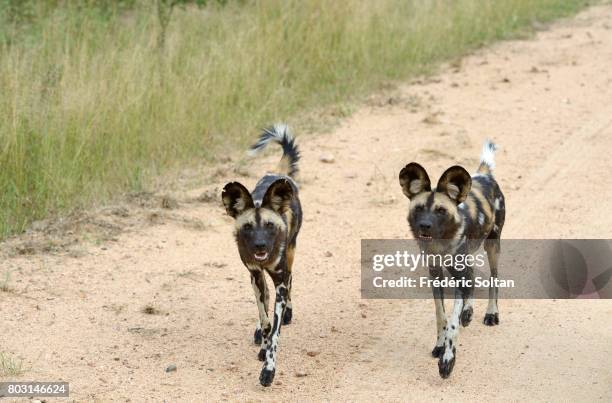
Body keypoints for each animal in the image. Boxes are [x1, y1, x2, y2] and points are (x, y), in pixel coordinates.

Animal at [224, 124, 302, 388]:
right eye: (248, 227)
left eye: (269, 225)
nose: (259, 246)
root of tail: (276, 173)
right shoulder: (255, 275)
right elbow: (266, 318)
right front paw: (263, 337)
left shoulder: (280, 280)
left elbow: (275, 329)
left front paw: (269, 370)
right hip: (256, 278)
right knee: (264, 301)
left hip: (290, 256)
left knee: (291, 281)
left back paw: (287, 313)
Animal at [400, 140, 504, 380]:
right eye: (419, 208)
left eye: (440, 210)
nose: (425, 226)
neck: (440, 245)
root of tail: (483, 175)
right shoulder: (436, 275)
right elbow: (441, 316)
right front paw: (440, 346)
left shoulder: (456, 276)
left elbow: (453, 324)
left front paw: (448, 359)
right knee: (472, 278)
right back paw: (469, 311)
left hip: (492, 245)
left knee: (493, 278)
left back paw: (491, 313)